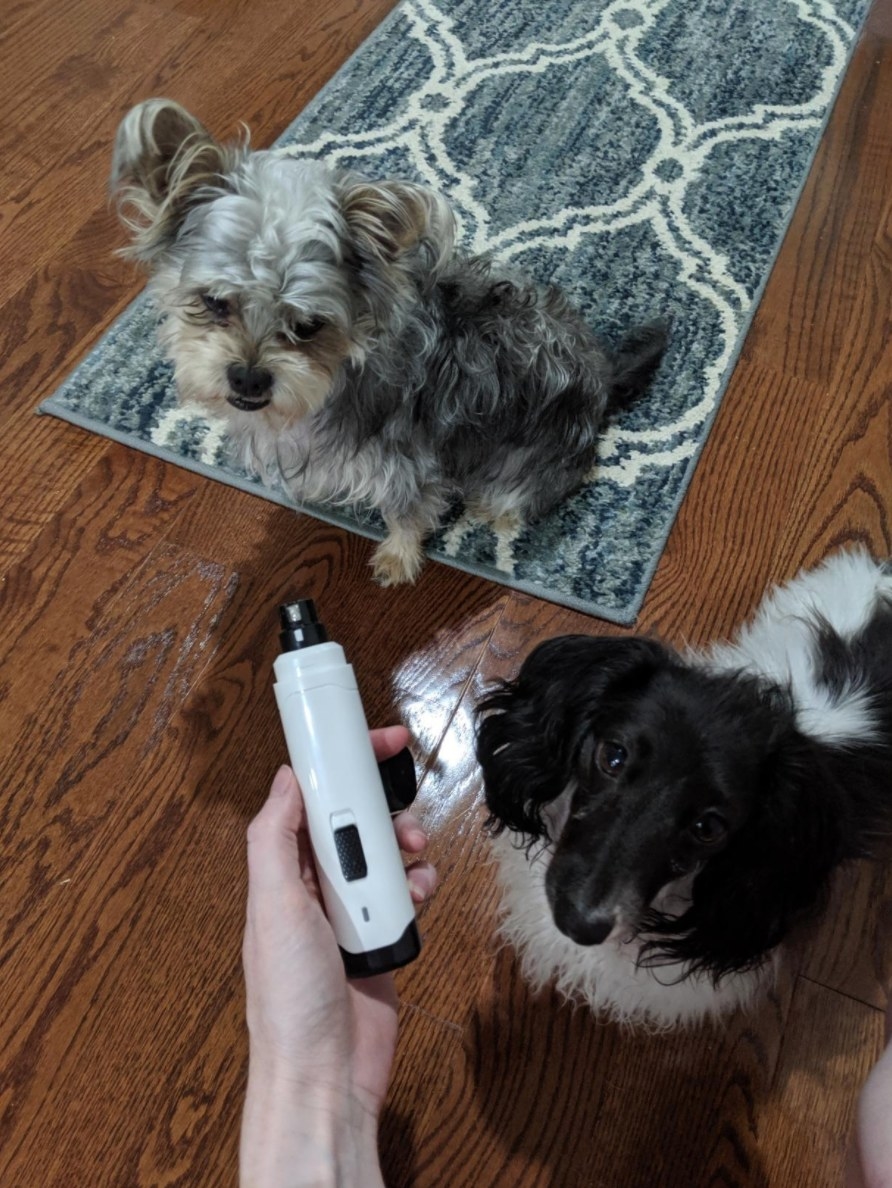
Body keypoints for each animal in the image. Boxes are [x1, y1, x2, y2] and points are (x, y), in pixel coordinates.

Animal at [111, 98, 665, 584]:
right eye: (213, 302)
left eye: (308, 326)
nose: (248, 378)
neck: (332, 384)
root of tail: (601, 378)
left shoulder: (408, 464)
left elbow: (407, 514)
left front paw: (398, 559)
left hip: (532, 460)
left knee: (514, 498)